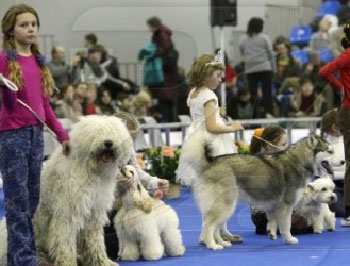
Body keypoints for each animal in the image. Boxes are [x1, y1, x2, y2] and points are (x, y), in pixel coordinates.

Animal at [180, 134, 330, 250]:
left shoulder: (273, 206)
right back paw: (212, 245)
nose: (339, 162)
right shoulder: (286, 206)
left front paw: (272, 234)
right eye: (329, 151)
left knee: (215, 227)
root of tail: (211, 161)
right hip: (225, 205)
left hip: (221, 206)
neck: (299, 161)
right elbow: (286, 225)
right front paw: (289, 239)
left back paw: (222, 242)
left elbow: (273, 221)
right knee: (208, 225)